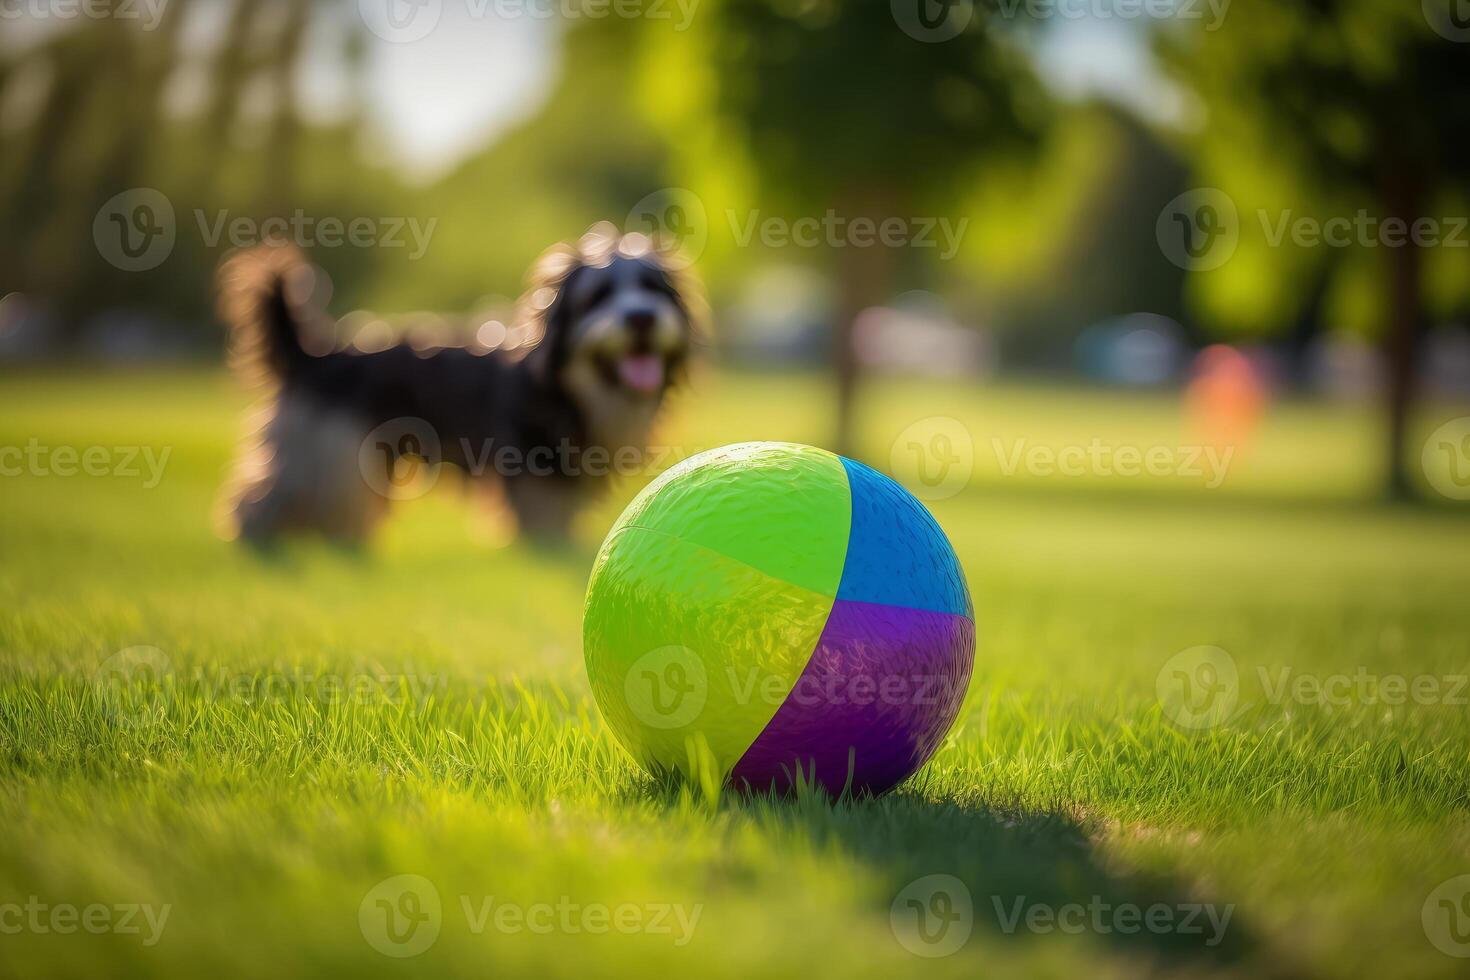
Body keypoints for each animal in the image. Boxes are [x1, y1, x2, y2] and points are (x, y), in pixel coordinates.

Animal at [214, 221, 702, 543]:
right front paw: (551, 547)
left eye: (652, 288)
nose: (641, 317)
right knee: (269, 495)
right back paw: (257, 540)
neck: (574, 387)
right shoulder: (532, 462)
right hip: (328, 450)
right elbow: (542, 513)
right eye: (598, 297)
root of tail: (315, 354)